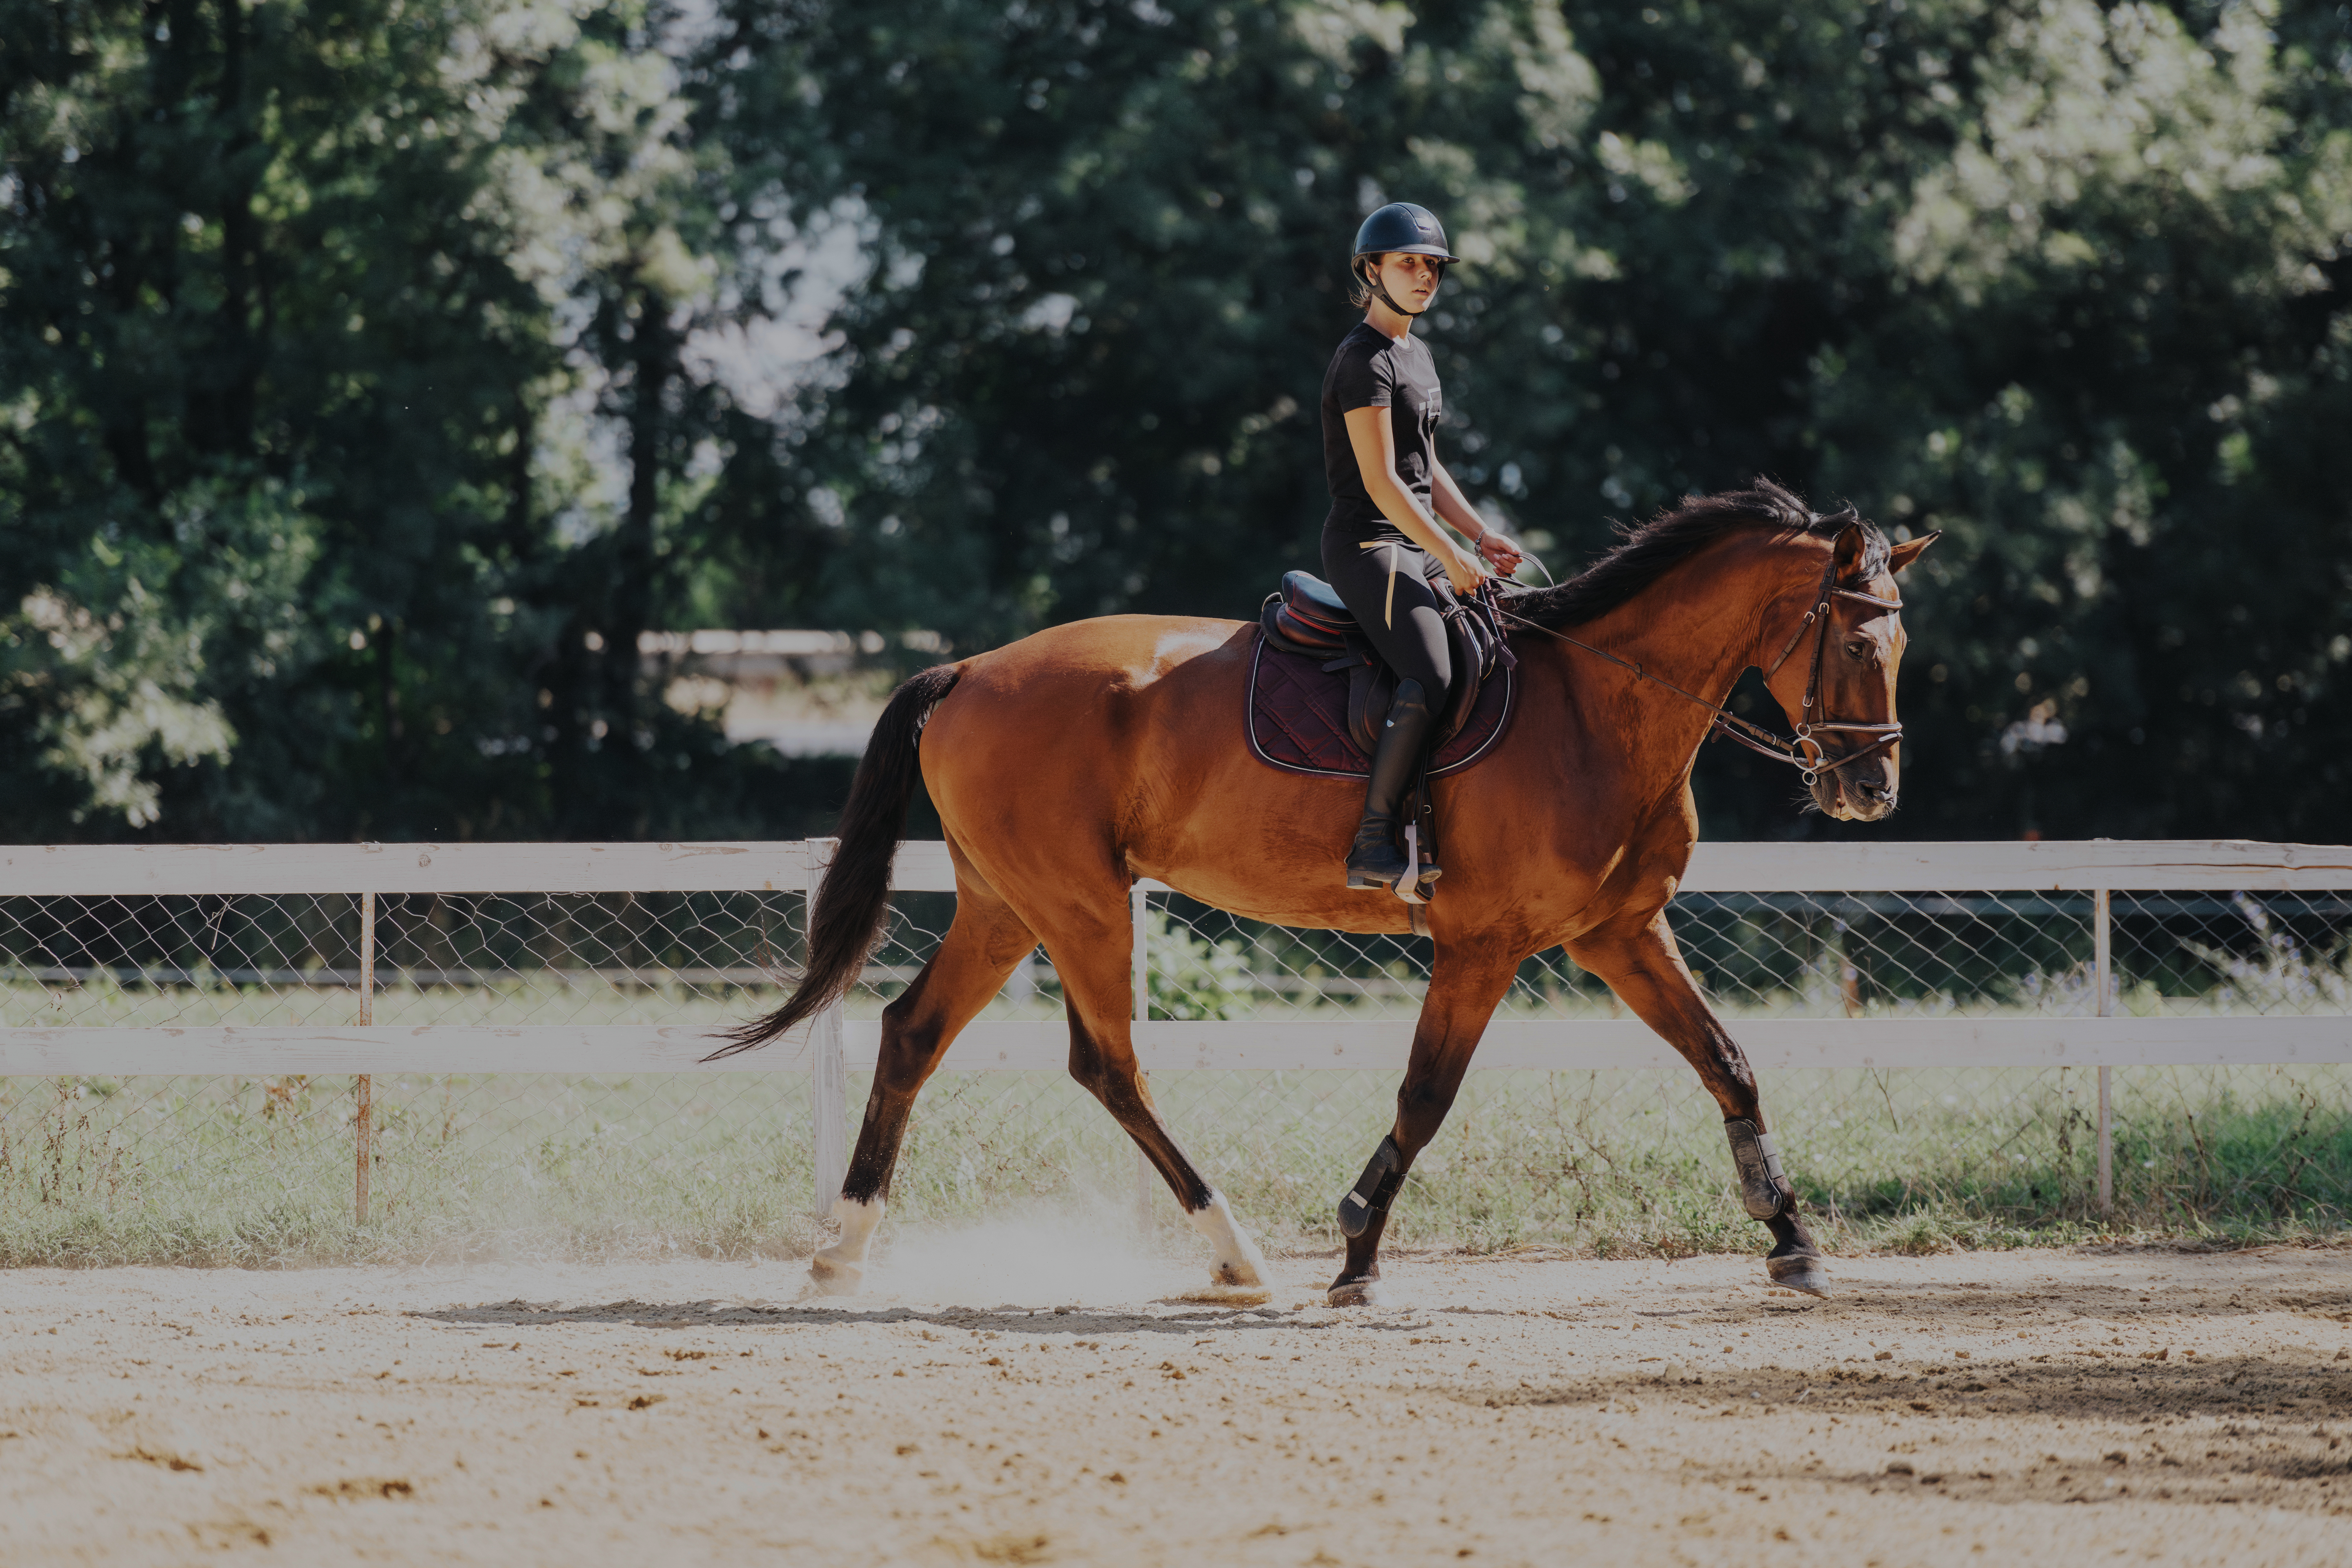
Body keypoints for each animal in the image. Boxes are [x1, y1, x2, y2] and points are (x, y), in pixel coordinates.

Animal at [713, 480, 1935, 1306]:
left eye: (1899, 643)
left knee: (915, 1032)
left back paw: (845, 1246)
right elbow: (1425, 1095)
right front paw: (1355, 1250)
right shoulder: (1482, 943)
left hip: (1008, 904)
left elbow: (1728, 1060)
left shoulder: (1620, 934)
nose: (1871, 787)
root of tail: (970, 667)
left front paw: (1791, 1237)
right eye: (1853, 641)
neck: (1599, 705)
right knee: (1108, 1064)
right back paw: (1234, 1250)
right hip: (1079, 906)